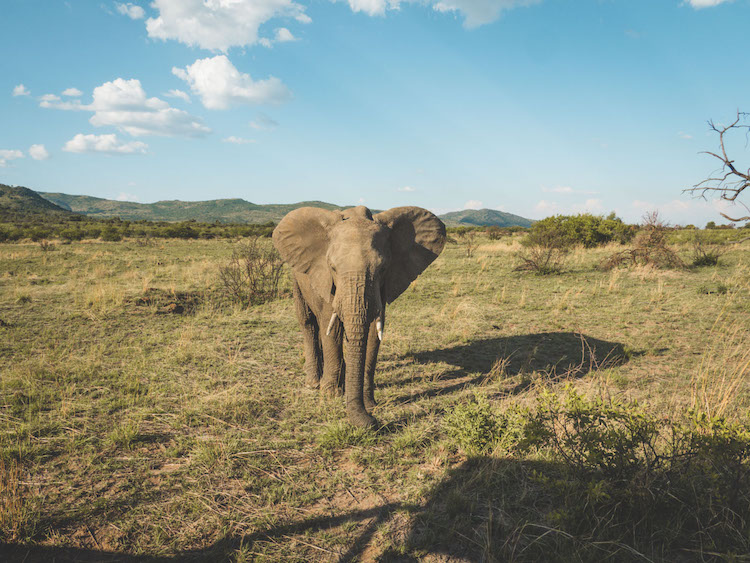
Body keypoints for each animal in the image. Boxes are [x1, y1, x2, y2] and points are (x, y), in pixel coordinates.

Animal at [274, 206, 446, 428]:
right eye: (332, 267)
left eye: (383, 268)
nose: (372, 422)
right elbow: (333, 330)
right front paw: (331, 395)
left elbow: (373, 334)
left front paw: (369, 403)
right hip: (296, 275)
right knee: (308, 322)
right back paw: (314, 383)